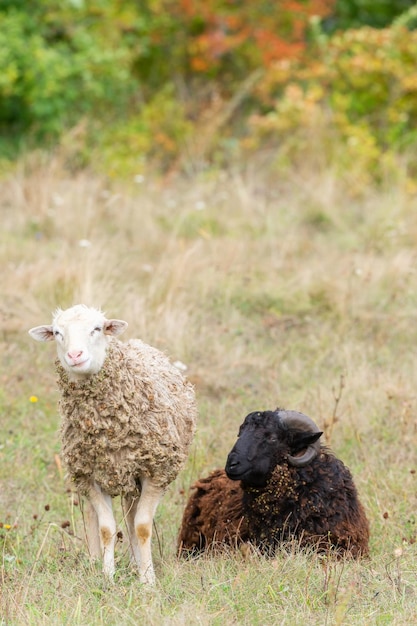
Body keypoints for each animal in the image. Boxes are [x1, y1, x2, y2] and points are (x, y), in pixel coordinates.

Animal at [28, 304, 197, 584]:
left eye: (97, 329)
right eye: (57, 333)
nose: (75, 355)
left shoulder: (155, 473)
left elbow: (142, 527)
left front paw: (148, 580)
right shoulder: (90, 476)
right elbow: (106, 528)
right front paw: (107, 577)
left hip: (135, 475)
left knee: (131, 517)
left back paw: (136, 564)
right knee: (96, 517)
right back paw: (96, 561)